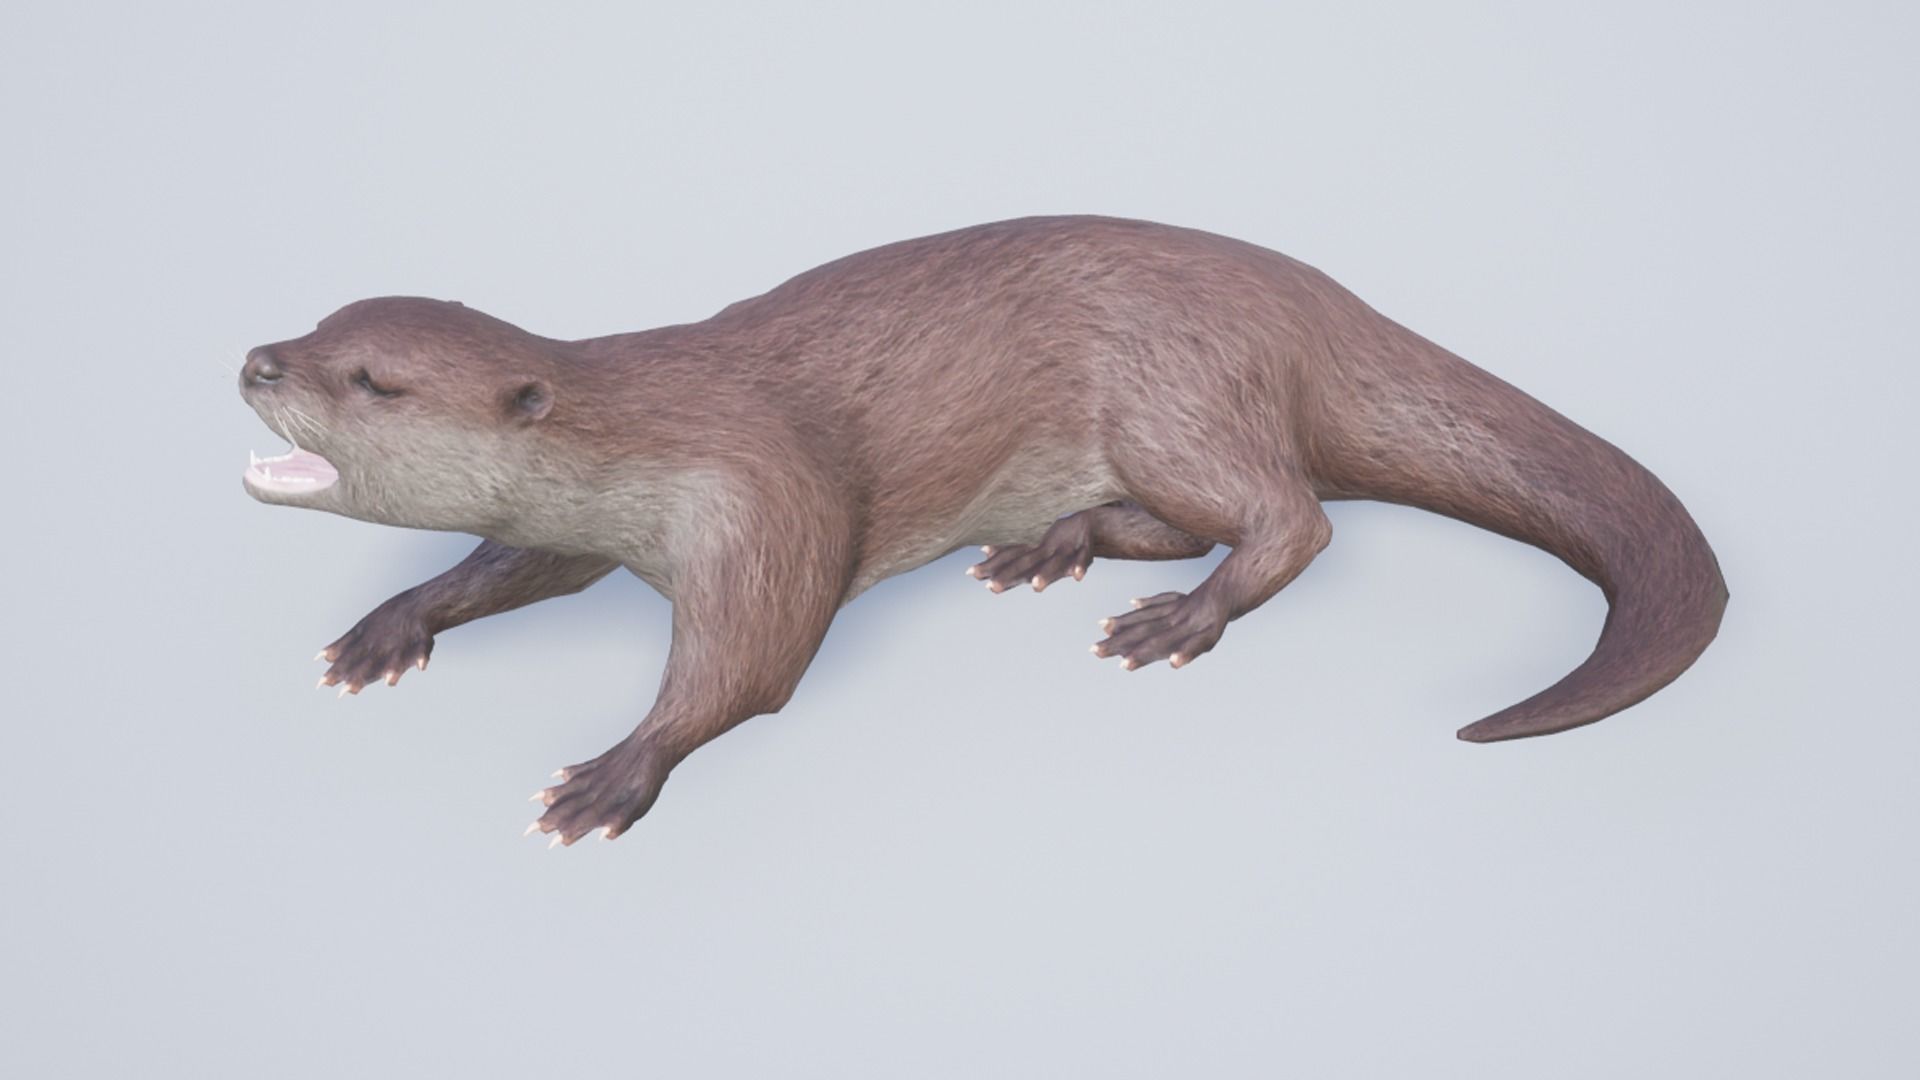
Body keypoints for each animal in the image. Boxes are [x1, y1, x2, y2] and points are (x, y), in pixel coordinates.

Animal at [239, 215, 1728, 846]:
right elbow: (513, 566)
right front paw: (388, 626)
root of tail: (1313, 299)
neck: (649, 428)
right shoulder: (573, 519)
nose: (256, 358)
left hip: (1180, 393)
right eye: (315, 323)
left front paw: (614, 772)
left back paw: (1177, 618)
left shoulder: (757, 500)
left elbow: (750, 662)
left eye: (371, 378)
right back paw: (1052, 546)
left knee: (1292, 519)